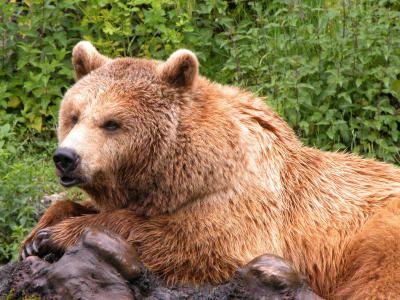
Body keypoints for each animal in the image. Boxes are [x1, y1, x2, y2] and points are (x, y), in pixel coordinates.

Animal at [20, 41, 400, 298]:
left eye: (111, 123)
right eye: (73, 116)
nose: (66, 157)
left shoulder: (243, 206)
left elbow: (193, 242)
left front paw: (55, 236)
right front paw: (35, 237)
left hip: (380, 233)